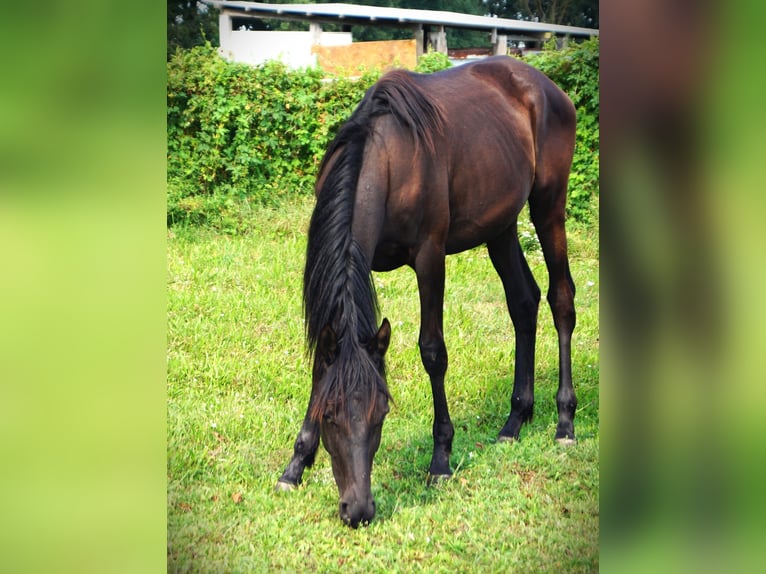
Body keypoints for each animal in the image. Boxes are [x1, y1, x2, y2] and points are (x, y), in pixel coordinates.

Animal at [276, 56, 576, 528]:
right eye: (330, 415)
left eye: (382, 413)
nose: (358, 510)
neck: (386, 158)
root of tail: (545, 86)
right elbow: (320, 364)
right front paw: (296, 464)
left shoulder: (430, 256)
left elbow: (433, 351)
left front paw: (440, 460)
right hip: (501, 227)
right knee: (523, 303)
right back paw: (515, 420)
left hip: (549, 207)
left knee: (561, 300)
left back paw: (565, 422)